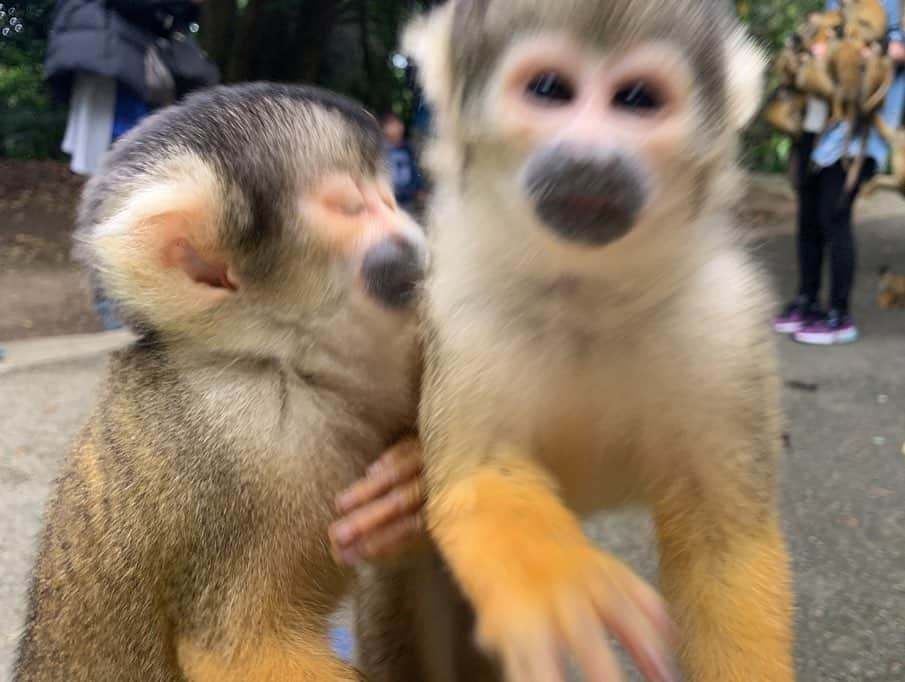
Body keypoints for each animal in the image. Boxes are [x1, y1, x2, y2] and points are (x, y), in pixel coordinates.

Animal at [10, 85, 430, 680]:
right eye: (353, 207)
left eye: (389, 200)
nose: (412, 234)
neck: (277, 361)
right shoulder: (237, 453)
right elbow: (236, 647)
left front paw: (409, 481)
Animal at [354, 3, 792, 680]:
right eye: (549, 90)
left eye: (637, 100)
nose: (592, 158)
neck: (588, 292)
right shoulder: (462, 303)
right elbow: (479, 479)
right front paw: (559, 586)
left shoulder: (724, 320)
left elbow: (727, 542)